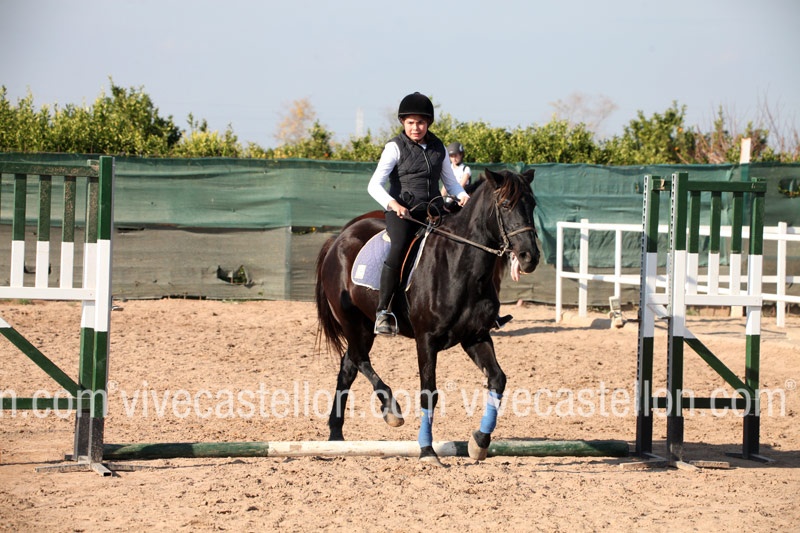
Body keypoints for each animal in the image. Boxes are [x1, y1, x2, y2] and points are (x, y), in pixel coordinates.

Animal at [314, 168, 539, 466]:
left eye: (532, 205)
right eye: (505, 205)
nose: (529, 257)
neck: (461, 266)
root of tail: (338, 238)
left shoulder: (476, 336)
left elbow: (497, 379)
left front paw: (479, 442)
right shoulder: (426, 340)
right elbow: (428, 393)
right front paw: (427, 451)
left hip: (363, 324)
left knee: (349, 366)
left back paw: (336, 436)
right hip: (353, 322)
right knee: (360, 359)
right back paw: (391, 410)